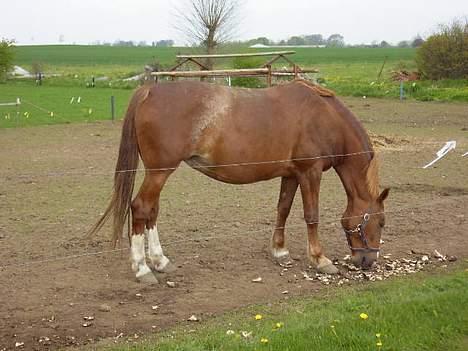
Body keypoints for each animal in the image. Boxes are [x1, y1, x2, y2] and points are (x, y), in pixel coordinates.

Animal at [89, 79, 390, 284]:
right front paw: (320, 259)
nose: (368, 261)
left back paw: (160, 261)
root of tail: (150, 91)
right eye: (381, 222)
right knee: (141, 208)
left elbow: (283, 209)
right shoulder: (310, 172)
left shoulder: (291, 174)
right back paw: (142, 269)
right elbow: (311, 216)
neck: (325, 116)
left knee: (152, 211)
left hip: (158, 173)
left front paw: (280, 251)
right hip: (159, 171)